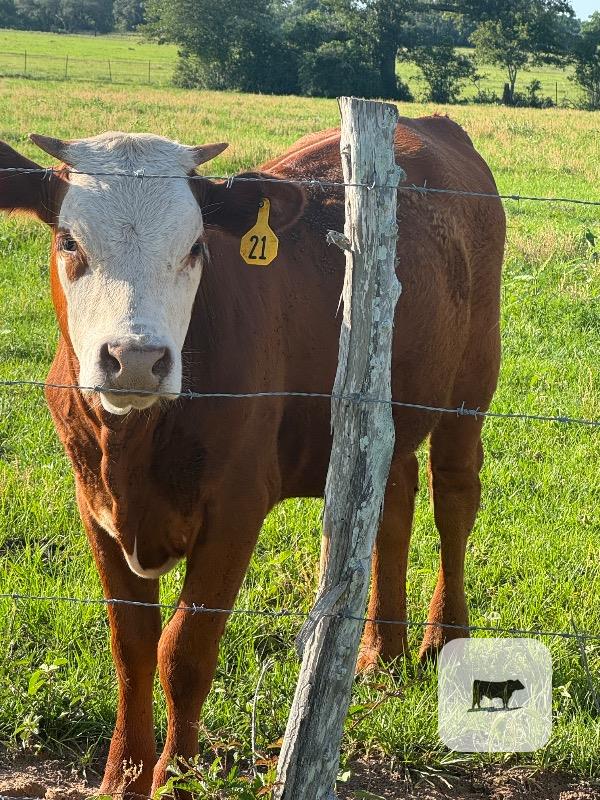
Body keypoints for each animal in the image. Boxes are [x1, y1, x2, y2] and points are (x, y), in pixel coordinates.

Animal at [0, 116, 505, 797]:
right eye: (69, 241)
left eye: (196, 246)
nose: (135, 359)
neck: (132, 445)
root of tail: (429, 123)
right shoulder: (95, 505)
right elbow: (131, 646)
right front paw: (123, 776)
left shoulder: (234, 511)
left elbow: (184, 650)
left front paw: (175, 776)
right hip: (387, 403)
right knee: (392, 502)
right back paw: (380, 651)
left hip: (471, 386)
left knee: (454, 501)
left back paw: (443, 638)